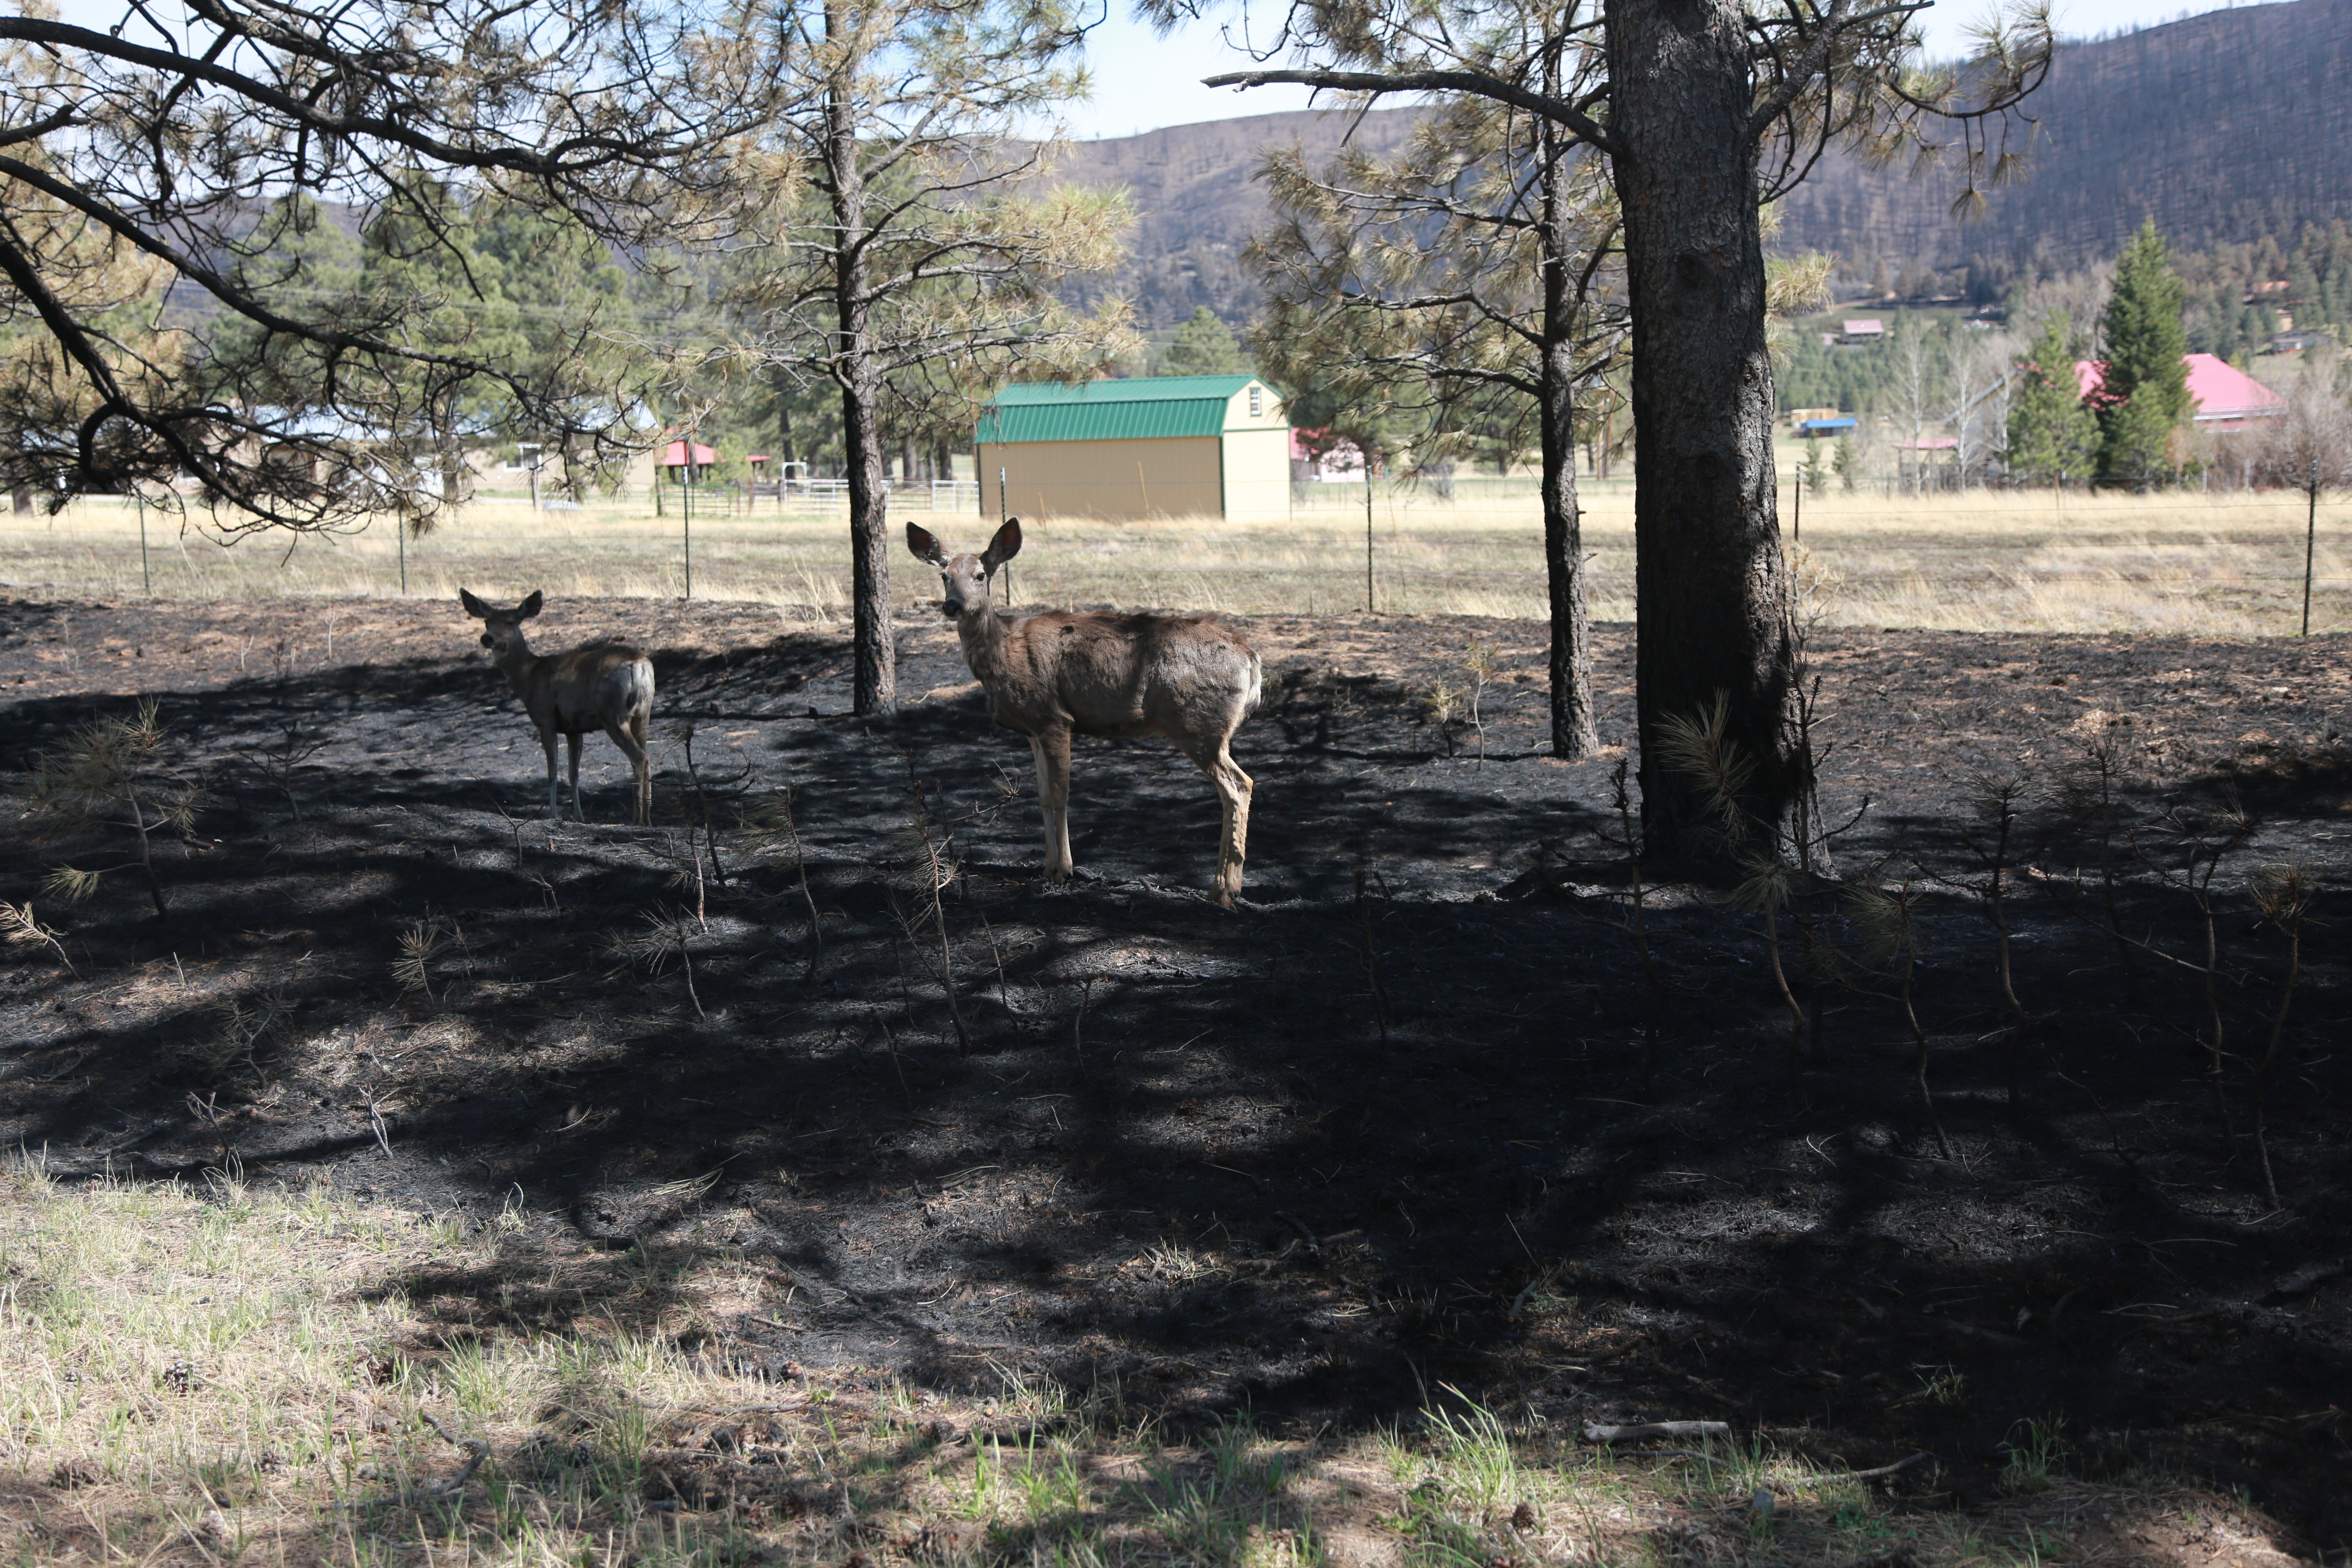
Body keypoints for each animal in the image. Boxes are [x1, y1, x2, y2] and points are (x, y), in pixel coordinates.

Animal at [459, 588, 654, 827]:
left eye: (510, 622)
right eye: (487, 621)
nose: (487, 638)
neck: (528, 675)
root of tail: (639, 665)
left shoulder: (545, 720)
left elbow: (552, 772)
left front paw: (552, 813)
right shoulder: (574, 728)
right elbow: (574, 773)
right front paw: (579, 816)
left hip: (613, 715)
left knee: (639, 757)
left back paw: (638, 819)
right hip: (643, 713)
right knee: (648, 757)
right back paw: (648, 818)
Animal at [903, 514, 1270, 907]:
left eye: (980, 574)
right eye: (945, 575)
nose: (953, 606)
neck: (1002, 653)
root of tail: (1252, 661)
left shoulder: (1055, 718)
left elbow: (1060, 793)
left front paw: (1063, 871)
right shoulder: (1033, 728)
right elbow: (1042, 795)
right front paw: (1046, 868)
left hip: (1198, 724)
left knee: (1239, 785)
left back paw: (1224, 890)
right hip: (1208, 729)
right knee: (1238, 786)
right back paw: (1226, 886)